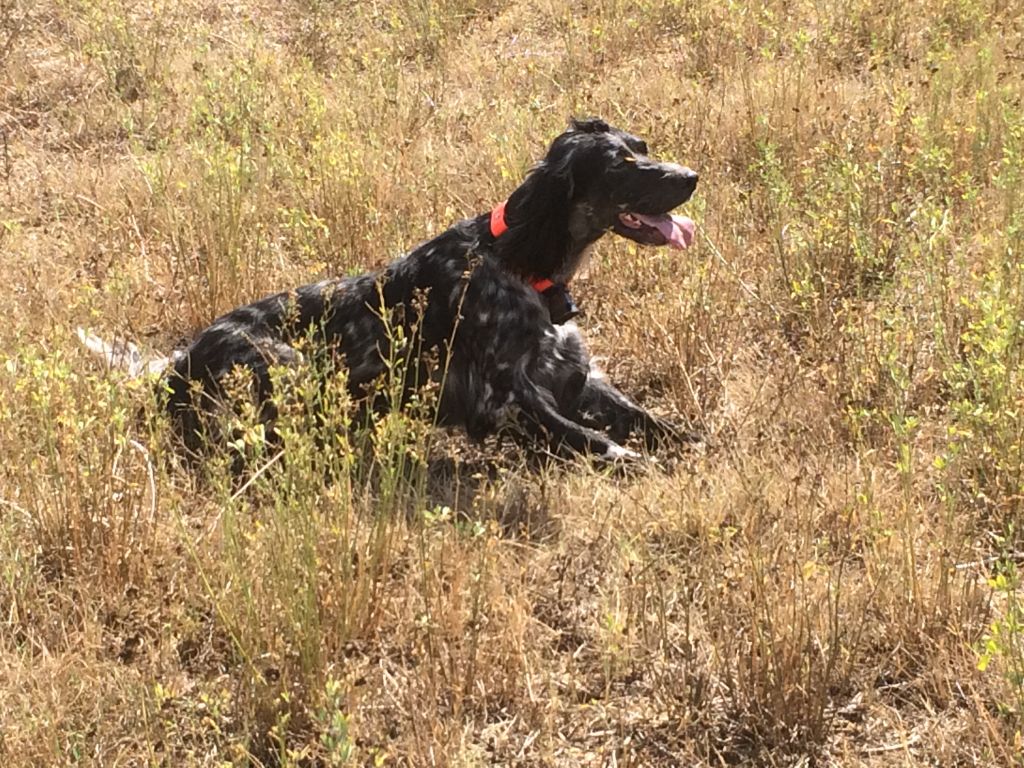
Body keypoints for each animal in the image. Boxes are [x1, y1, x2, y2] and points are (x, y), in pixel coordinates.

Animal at [83, 117, 700, 460]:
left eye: (643, 145)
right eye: (620, 164)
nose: (693, 177)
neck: (519, 262)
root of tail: (178, 363)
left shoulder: (575, 376)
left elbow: (648, 419)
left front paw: (694, 445)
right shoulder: (505, 399)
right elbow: (590, 438)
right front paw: (633, 461)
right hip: (289, 364)